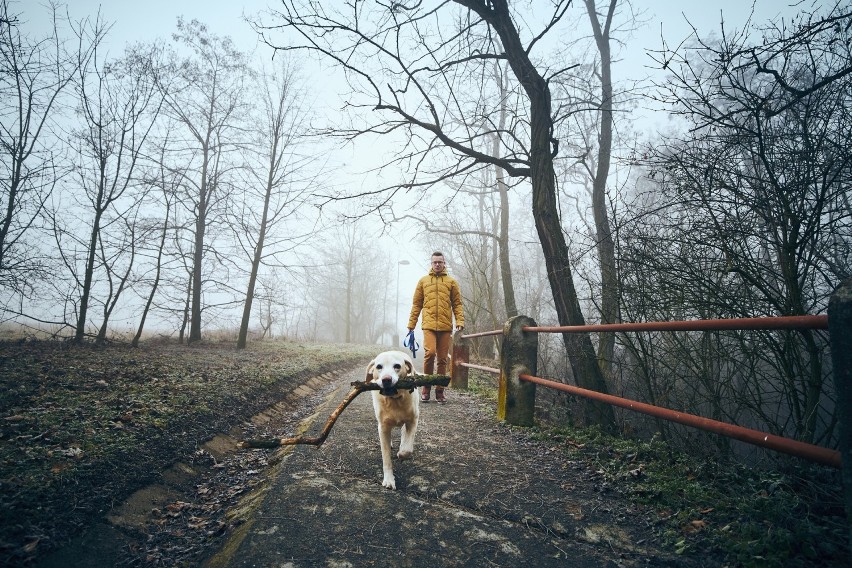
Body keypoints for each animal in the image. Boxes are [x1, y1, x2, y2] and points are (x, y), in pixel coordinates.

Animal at [364, 348, 422, 490]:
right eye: (379, 367)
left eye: (397, 366)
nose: (386, 379)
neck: (394, 400)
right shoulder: (383, 427)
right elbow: (386, 458)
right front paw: (389, 480)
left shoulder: (413, 420)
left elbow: (407, 449)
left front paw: (402, 453)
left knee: (404, 435)